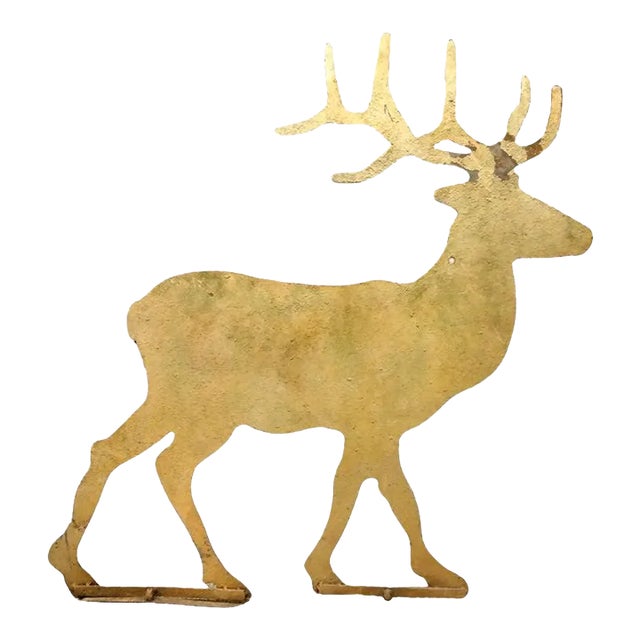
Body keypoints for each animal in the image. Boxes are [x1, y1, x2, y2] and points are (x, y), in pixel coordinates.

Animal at [49, 35, 592, 606]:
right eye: (499, 204)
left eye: (525, 191)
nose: (584, 234)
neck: (434, 333)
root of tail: (134, 314)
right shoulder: (373, 415)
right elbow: (395, 495)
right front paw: (429, 574)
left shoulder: (368, 425)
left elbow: (357, 487)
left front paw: (331, 571)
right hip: (196, 398)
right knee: (151, 459)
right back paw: (179, 576)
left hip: (189, 402)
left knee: (133, 455)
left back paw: (92, 569)